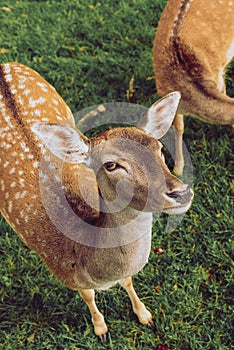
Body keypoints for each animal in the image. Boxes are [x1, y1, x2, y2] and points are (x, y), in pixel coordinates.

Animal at [0, 62, 194, 340]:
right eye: (111, 164)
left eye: (158, 147)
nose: (181, 192)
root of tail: (5, 64)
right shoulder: (66, 275)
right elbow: (88, 296)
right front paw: (100, 328)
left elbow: (128, 280)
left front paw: (145, 316)